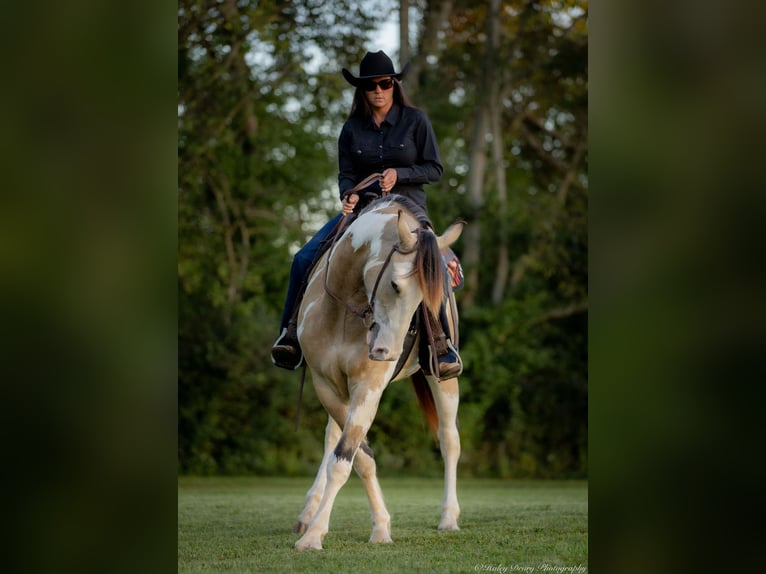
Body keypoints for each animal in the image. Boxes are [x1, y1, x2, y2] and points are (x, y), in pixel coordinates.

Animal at [292, 198, 464, 552]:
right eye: (395, 284)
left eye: (427, 296)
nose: (388, 352)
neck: (344, 306)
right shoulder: (326, 384)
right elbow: (357, 456)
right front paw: (380, 526)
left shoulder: (368, 386)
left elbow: (346, 457)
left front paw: (314, 536)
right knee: (331, 437)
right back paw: (308, 512)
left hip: (444, 378)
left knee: (449, 441)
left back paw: (448, 518)